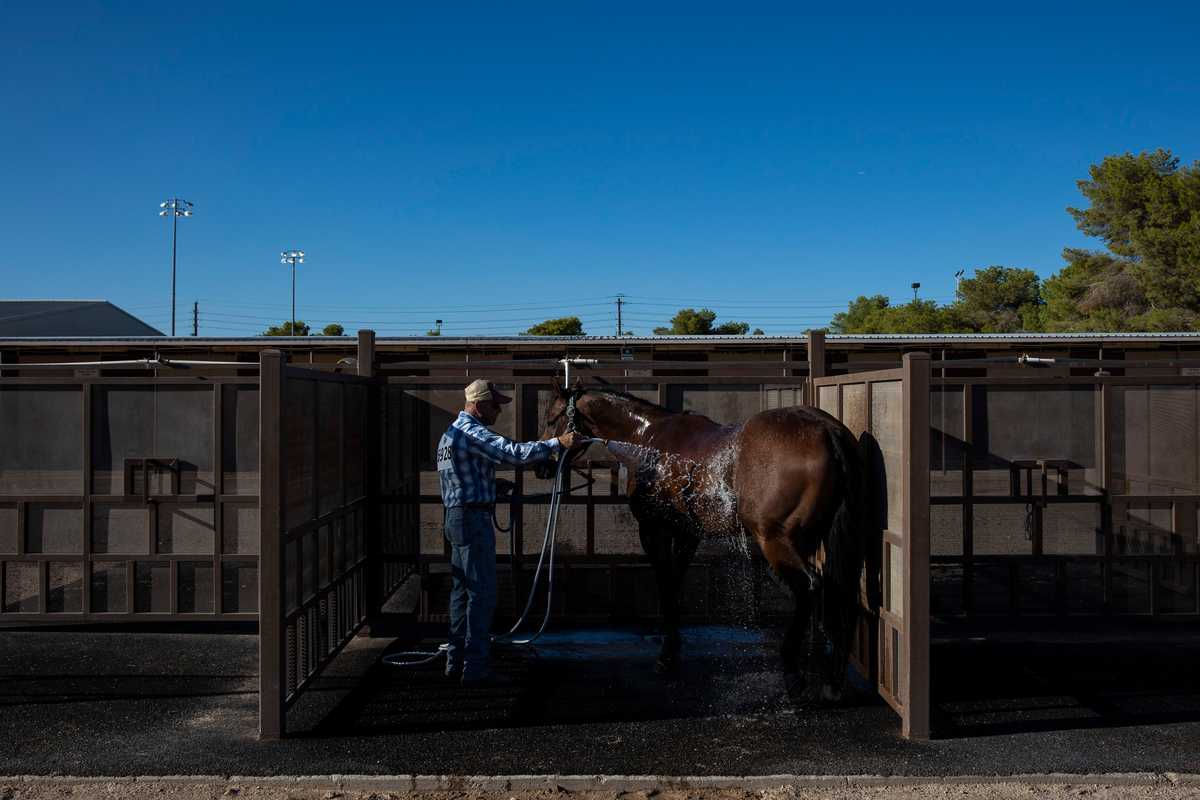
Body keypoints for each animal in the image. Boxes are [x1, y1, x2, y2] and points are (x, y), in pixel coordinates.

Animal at [542, 383, 873, 705]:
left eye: (550, 418)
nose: (542, 466)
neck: (645, 438)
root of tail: (827, 429)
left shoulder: (653, 530)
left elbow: (665, 585)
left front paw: (666, 656)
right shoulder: (687, 534)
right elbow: (674, 584)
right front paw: (672, 649)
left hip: (776, 539)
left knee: (808, 586)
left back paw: (793, 676)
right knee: (841, 593)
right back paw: (832, 683)